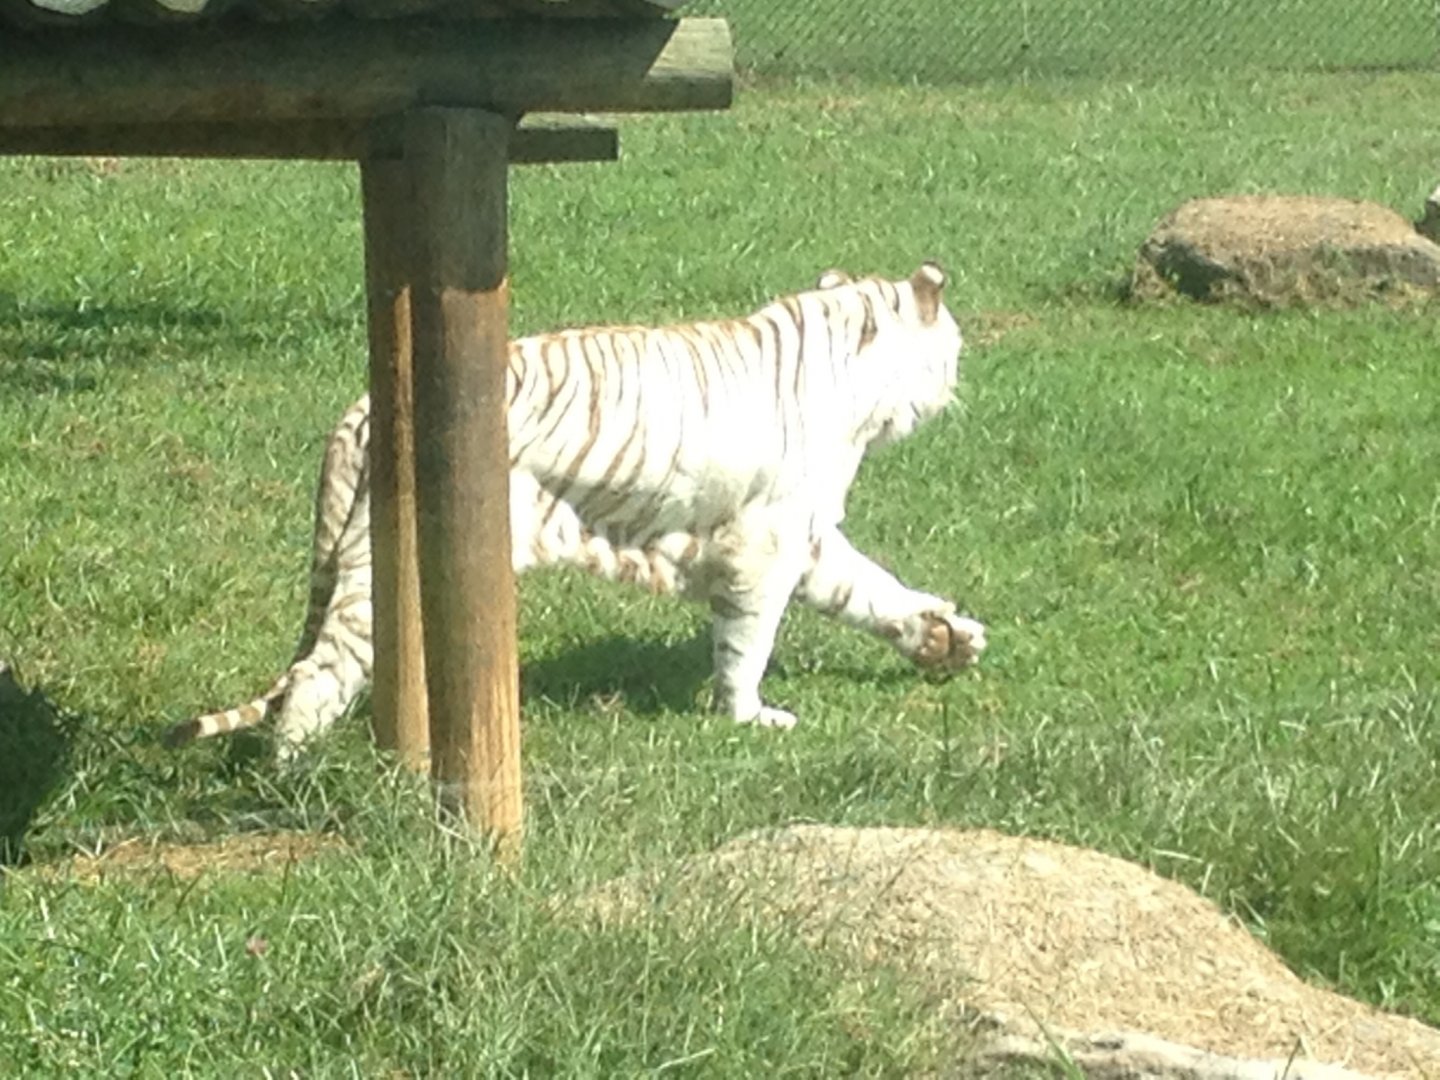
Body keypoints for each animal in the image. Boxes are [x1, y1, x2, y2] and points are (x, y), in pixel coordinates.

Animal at [165, 263, 987, 759]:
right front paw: (748, 715)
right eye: (951, 342)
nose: (958, 382)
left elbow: (869, 589)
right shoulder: (766, 541)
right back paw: (293, 764)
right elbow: (749, 639)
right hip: (377, 564)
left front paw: (944, 637)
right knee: (318, 669)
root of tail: (361, 410)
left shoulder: (807, 538)